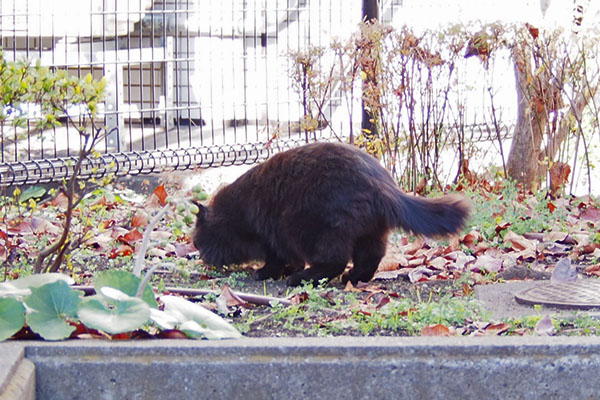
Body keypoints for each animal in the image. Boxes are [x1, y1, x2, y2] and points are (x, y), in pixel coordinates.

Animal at [195, 142, 472, 286]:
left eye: (198, 242)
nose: (201, 255)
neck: (235, 214)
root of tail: (381, 183)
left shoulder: (271, 237)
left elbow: (275, 259)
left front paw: (265, 273)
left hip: (313, 230)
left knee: (334, 261)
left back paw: (302, 278)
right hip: (370, 234)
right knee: (370, 258)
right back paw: (354, 277)